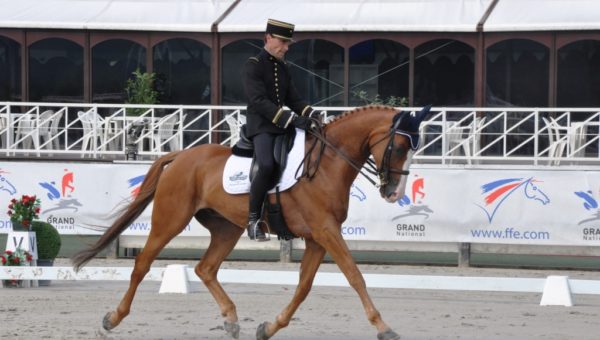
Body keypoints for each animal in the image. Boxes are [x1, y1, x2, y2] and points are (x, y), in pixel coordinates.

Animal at [71, 104, 432, 340]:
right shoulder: (326, 231)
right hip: (170, 219)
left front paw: (269, 327)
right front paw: (384, 328)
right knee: (143, 263)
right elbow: (356, 277)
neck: (328, 163)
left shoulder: (317, 237)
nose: (393, 192)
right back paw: (112, 318)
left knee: (205, 268)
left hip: (226, 228)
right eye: (400, 146)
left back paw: (231, 320)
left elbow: (304, 287)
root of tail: (181, 156)